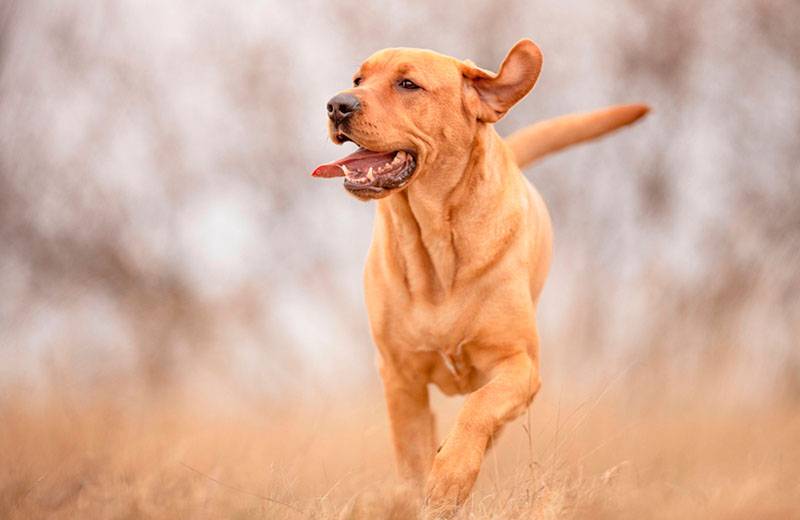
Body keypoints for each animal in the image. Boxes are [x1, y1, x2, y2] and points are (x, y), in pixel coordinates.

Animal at [310, 40, 648, 512]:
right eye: (358, 79)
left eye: (407, 84)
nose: (337, 104)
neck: (434, 246)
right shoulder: (399, 375)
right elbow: (411, 451)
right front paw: (422, 492)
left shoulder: (518, 364)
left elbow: (479, 408)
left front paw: (450, 478)